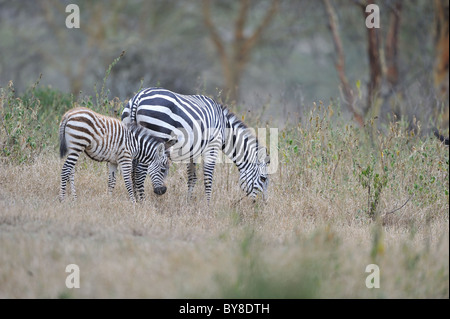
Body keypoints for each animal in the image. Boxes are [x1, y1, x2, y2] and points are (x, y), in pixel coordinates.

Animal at [122, 87, 270, 202]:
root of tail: (138, 98)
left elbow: (192, 177)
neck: (224, 126)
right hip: (155, 136)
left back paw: (136, 198)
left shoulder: (193, 150)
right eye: (263, 179)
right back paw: (142, 201)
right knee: (140, 171)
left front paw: (188, 202)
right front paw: (208, 205)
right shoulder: (212, 146)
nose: (262, 205)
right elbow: (208, 178)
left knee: (133, 169)